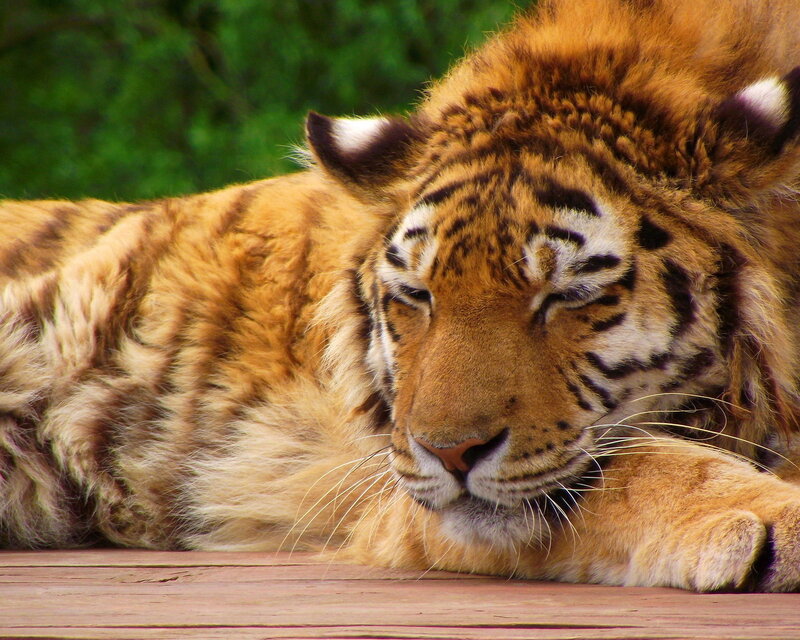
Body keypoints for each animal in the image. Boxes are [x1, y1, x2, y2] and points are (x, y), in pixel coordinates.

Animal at [3, 0, 800, 592]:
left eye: (567, 294)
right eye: (418, 295)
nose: (450, 455)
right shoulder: (390, 485)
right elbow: (641, 465)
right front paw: (770, 519)